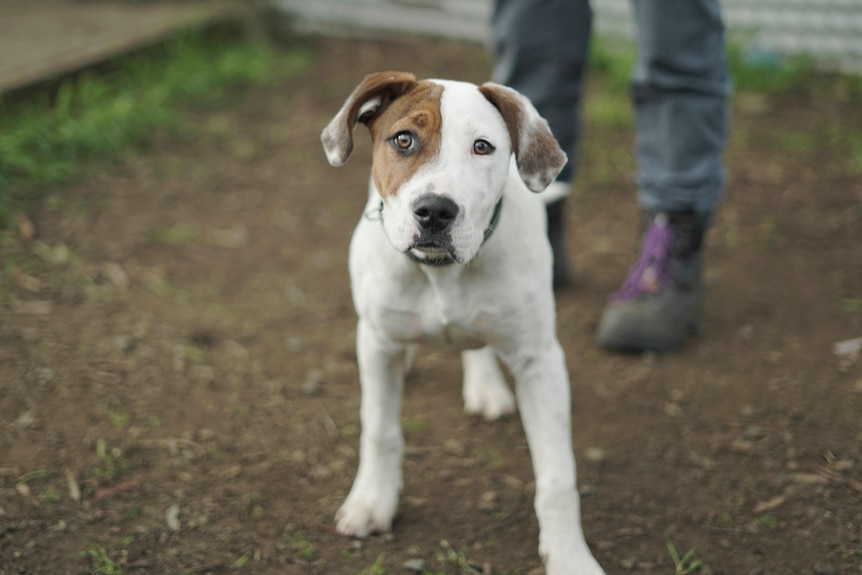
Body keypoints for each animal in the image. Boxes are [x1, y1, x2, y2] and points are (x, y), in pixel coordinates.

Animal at [320, 72, 604, 575]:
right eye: (404, 140)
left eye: (482, 147)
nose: (435, 210)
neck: (439, 273)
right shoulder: (376, 343)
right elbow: (379, 430)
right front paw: (372, 503)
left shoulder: (540, 361)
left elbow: (557, 475)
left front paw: (570, 556)